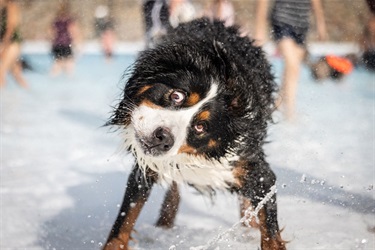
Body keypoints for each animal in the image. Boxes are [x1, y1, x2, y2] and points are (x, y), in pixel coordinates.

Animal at [104, 18, 286, 250]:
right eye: (176, 95)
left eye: (201, 126)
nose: (162, 138)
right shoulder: (144, 168)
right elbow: (125, 218)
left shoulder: (255, 169)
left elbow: (270, 229)